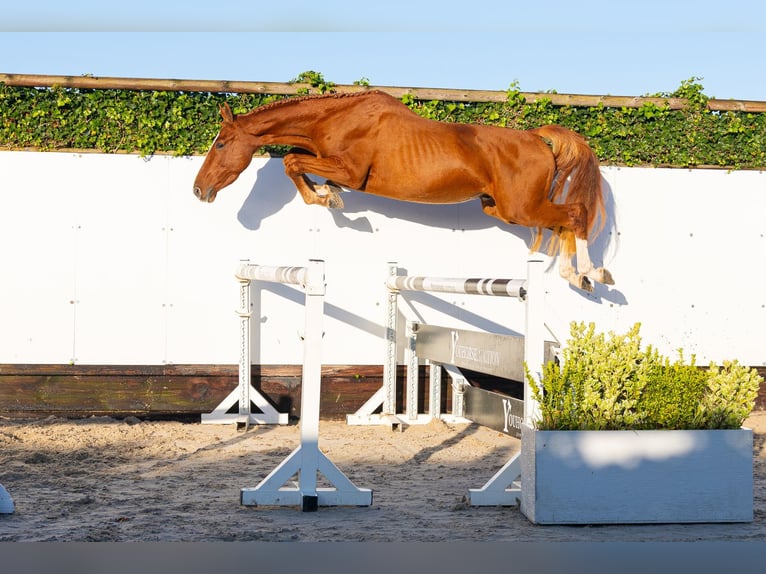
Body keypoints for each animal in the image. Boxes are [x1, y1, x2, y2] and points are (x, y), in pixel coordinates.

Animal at [193, 90, 613, 291]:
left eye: (221, 144)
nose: (199, 190)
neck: (338, 119)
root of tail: (537, 138)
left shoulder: (351, 170)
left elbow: (292, 163)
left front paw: (327, 198)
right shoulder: (333, 164)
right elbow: (297, 163)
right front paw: (328, 195)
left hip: (520, 208)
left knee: (575, 215)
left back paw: (591, 274)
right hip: (500, 208)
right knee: (562, 224)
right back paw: (575, 276)